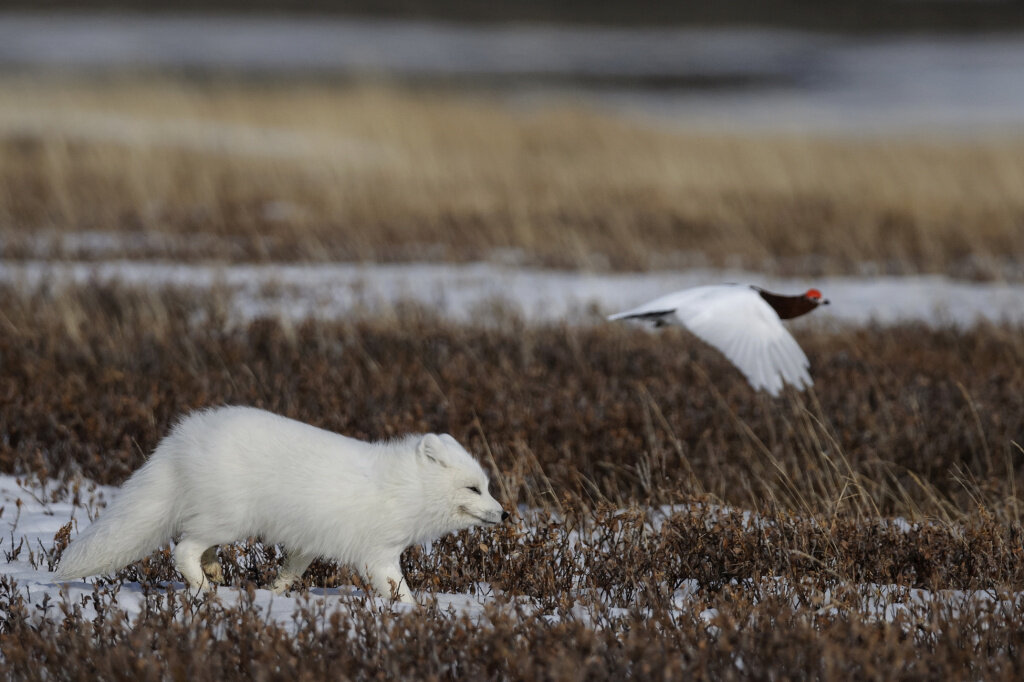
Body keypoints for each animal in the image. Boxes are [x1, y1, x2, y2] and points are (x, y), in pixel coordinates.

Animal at [55, 403, 503, 602]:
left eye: (487, 486)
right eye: (473, 490)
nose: (502, 513)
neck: (407, 488)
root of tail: (181, 438)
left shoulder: (308, 540)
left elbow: (292, 570)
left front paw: (275, 591)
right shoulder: (379, 555)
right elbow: (400, 591)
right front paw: (416, 618)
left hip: (220, 519)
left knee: (197, 543)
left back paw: (214, 571)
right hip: (229, 518)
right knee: (183, 548)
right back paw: (202, 586)